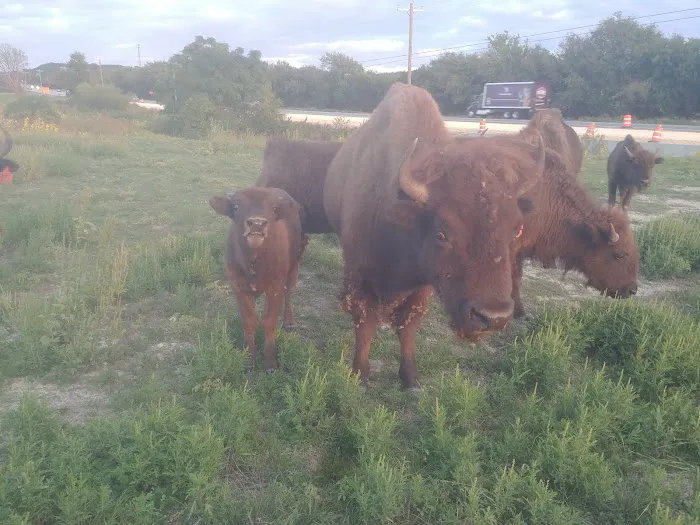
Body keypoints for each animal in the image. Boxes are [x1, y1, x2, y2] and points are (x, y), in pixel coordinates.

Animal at [209, 187, 309, 372]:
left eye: (274, 209)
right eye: (236, 206)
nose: (257, 223)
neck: (254, 261)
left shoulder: (275, 287)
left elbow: (268, 322)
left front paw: (270, 363)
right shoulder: (237, 286)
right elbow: (249, 321)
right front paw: (249, 359)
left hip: (294, 266)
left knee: (288, 292)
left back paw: (289, 321)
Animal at [323, 82, 546, 390]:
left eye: (516, 229)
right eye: (442, 233)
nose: (493, 317)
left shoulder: (422, 288)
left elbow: (408, 327)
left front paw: (411, 379)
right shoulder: (360, 279)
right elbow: (364, 325)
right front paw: (360, 374)